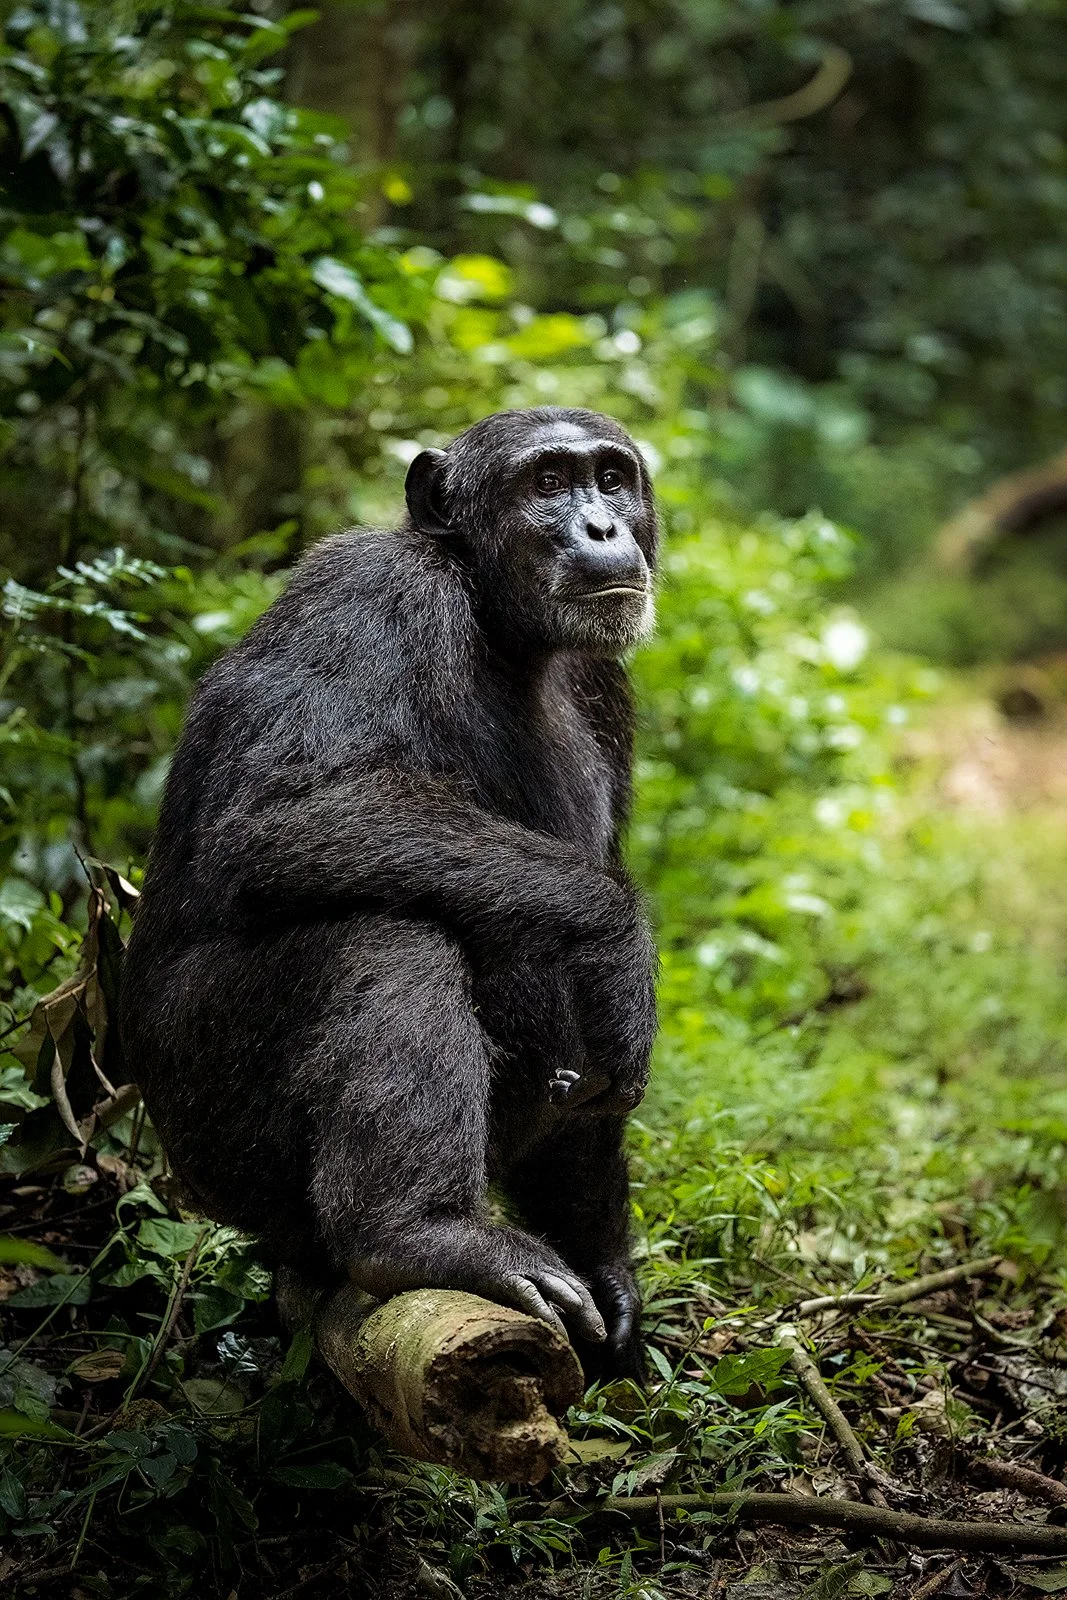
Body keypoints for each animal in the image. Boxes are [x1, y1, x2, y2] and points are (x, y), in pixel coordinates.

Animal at [120, 406, 659, 1381]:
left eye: (609, 477)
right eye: (548, 484)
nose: (601, 526)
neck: (496, 617)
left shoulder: (610, 690)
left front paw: (610, 1276)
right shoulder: (370, 594)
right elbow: (285, 809)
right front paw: (618, 943)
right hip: (208, 1135)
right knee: (382, 939)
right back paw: (420, 1235)